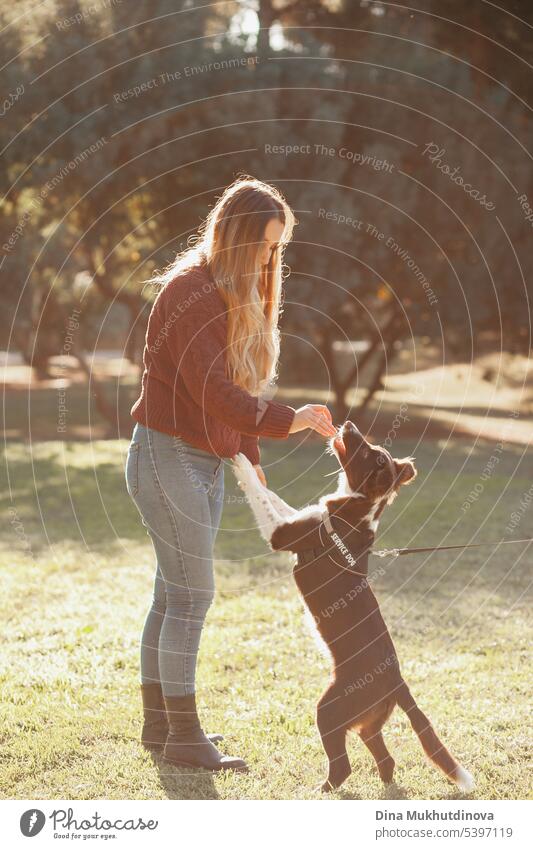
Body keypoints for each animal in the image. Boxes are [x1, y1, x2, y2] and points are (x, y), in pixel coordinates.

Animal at [231, 424, 472, 796]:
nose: (348, 425)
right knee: (386, 759)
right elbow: (276, 499)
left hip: (330, 708)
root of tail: (397, 681)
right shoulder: (300, 517)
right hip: (367, 722)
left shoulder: (282, 535)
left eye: (369, 453)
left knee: (343, 766)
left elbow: (262, 498)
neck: (357, 512)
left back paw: (321, 791)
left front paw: (241, 462)